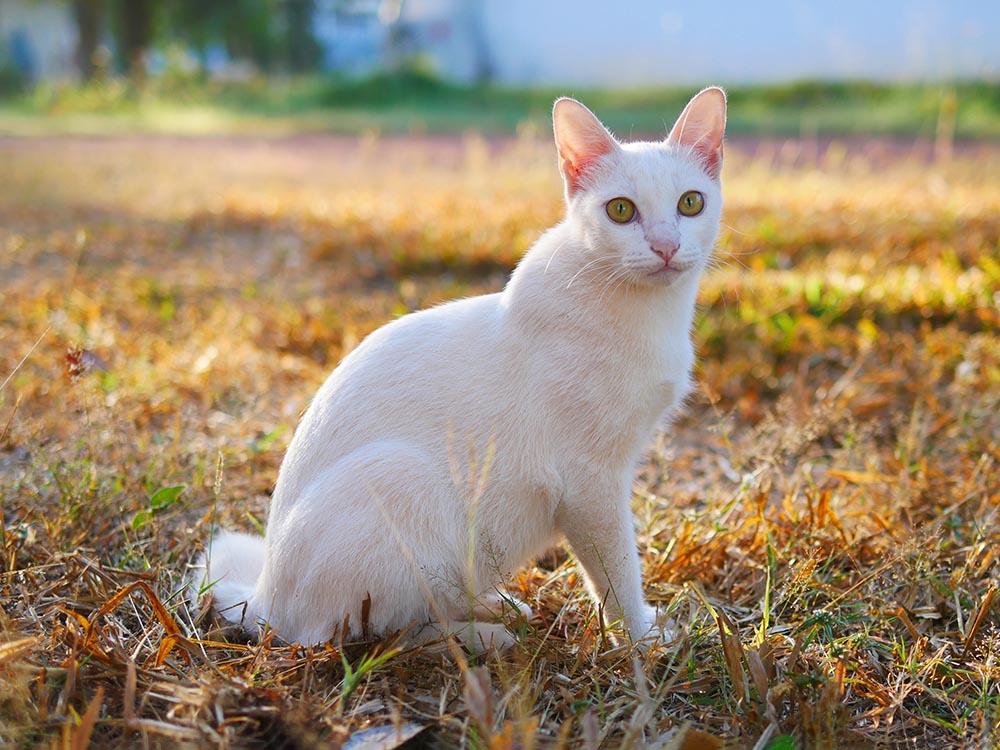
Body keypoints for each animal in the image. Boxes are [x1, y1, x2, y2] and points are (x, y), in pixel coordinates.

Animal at [193, 86, 728, 652]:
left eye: (690, 203)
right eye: (621, 210)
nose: (666, 245)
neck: (650, 314)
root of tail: (264, 598)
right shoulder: (590, 484)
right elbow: (618, 572)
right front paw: (643, 638)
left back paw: (496, 605)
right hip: (402, 480)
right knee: (386, 634)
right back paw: (486, 634)